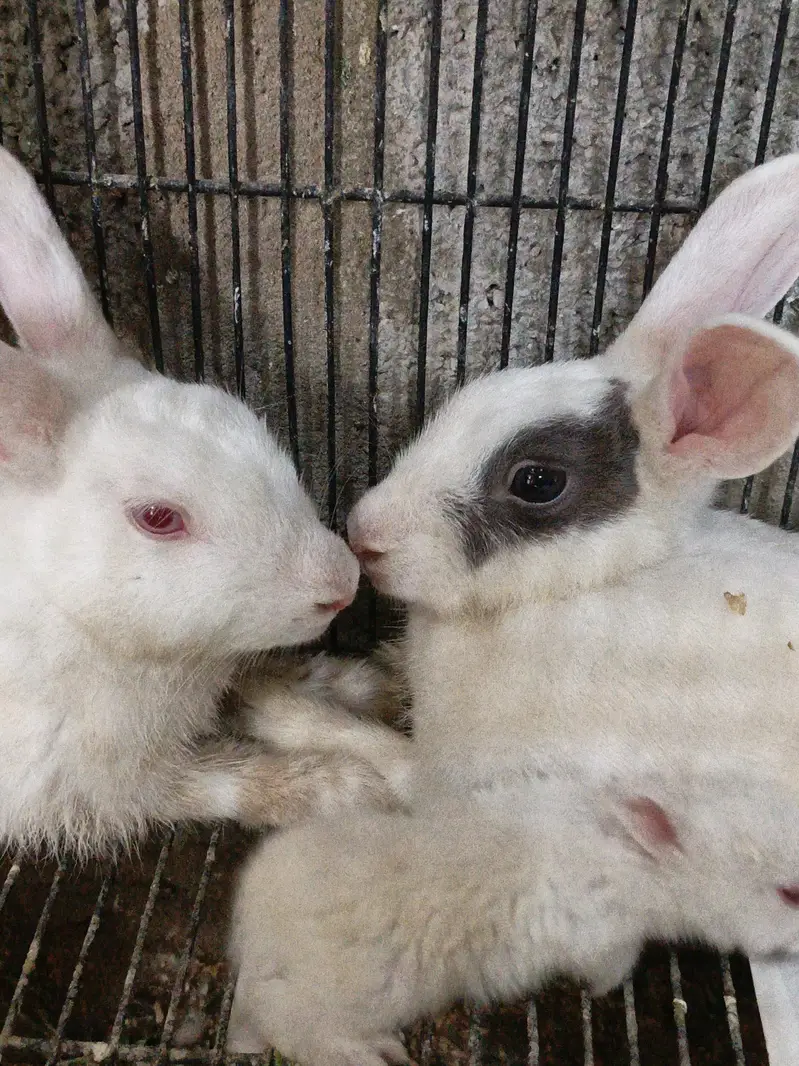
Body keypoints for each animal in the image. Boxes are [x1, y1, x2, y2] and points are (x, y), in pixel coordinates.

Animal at [0, 145, 410, 858]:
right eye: (158, 518)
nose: (341, 584)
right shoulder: (92, 781)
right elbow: (219, 779)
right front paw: (344, 786)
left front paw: (360, 684)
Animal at [226, 776, 799, 1065]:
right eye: (789, 894)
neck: (636, 863)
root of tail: (255, 934)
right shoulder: (605, 938)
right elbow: (608, 970)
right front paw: (602, 990)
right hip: (357, 996)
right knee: (295, 1026)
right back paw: (374, 1054)